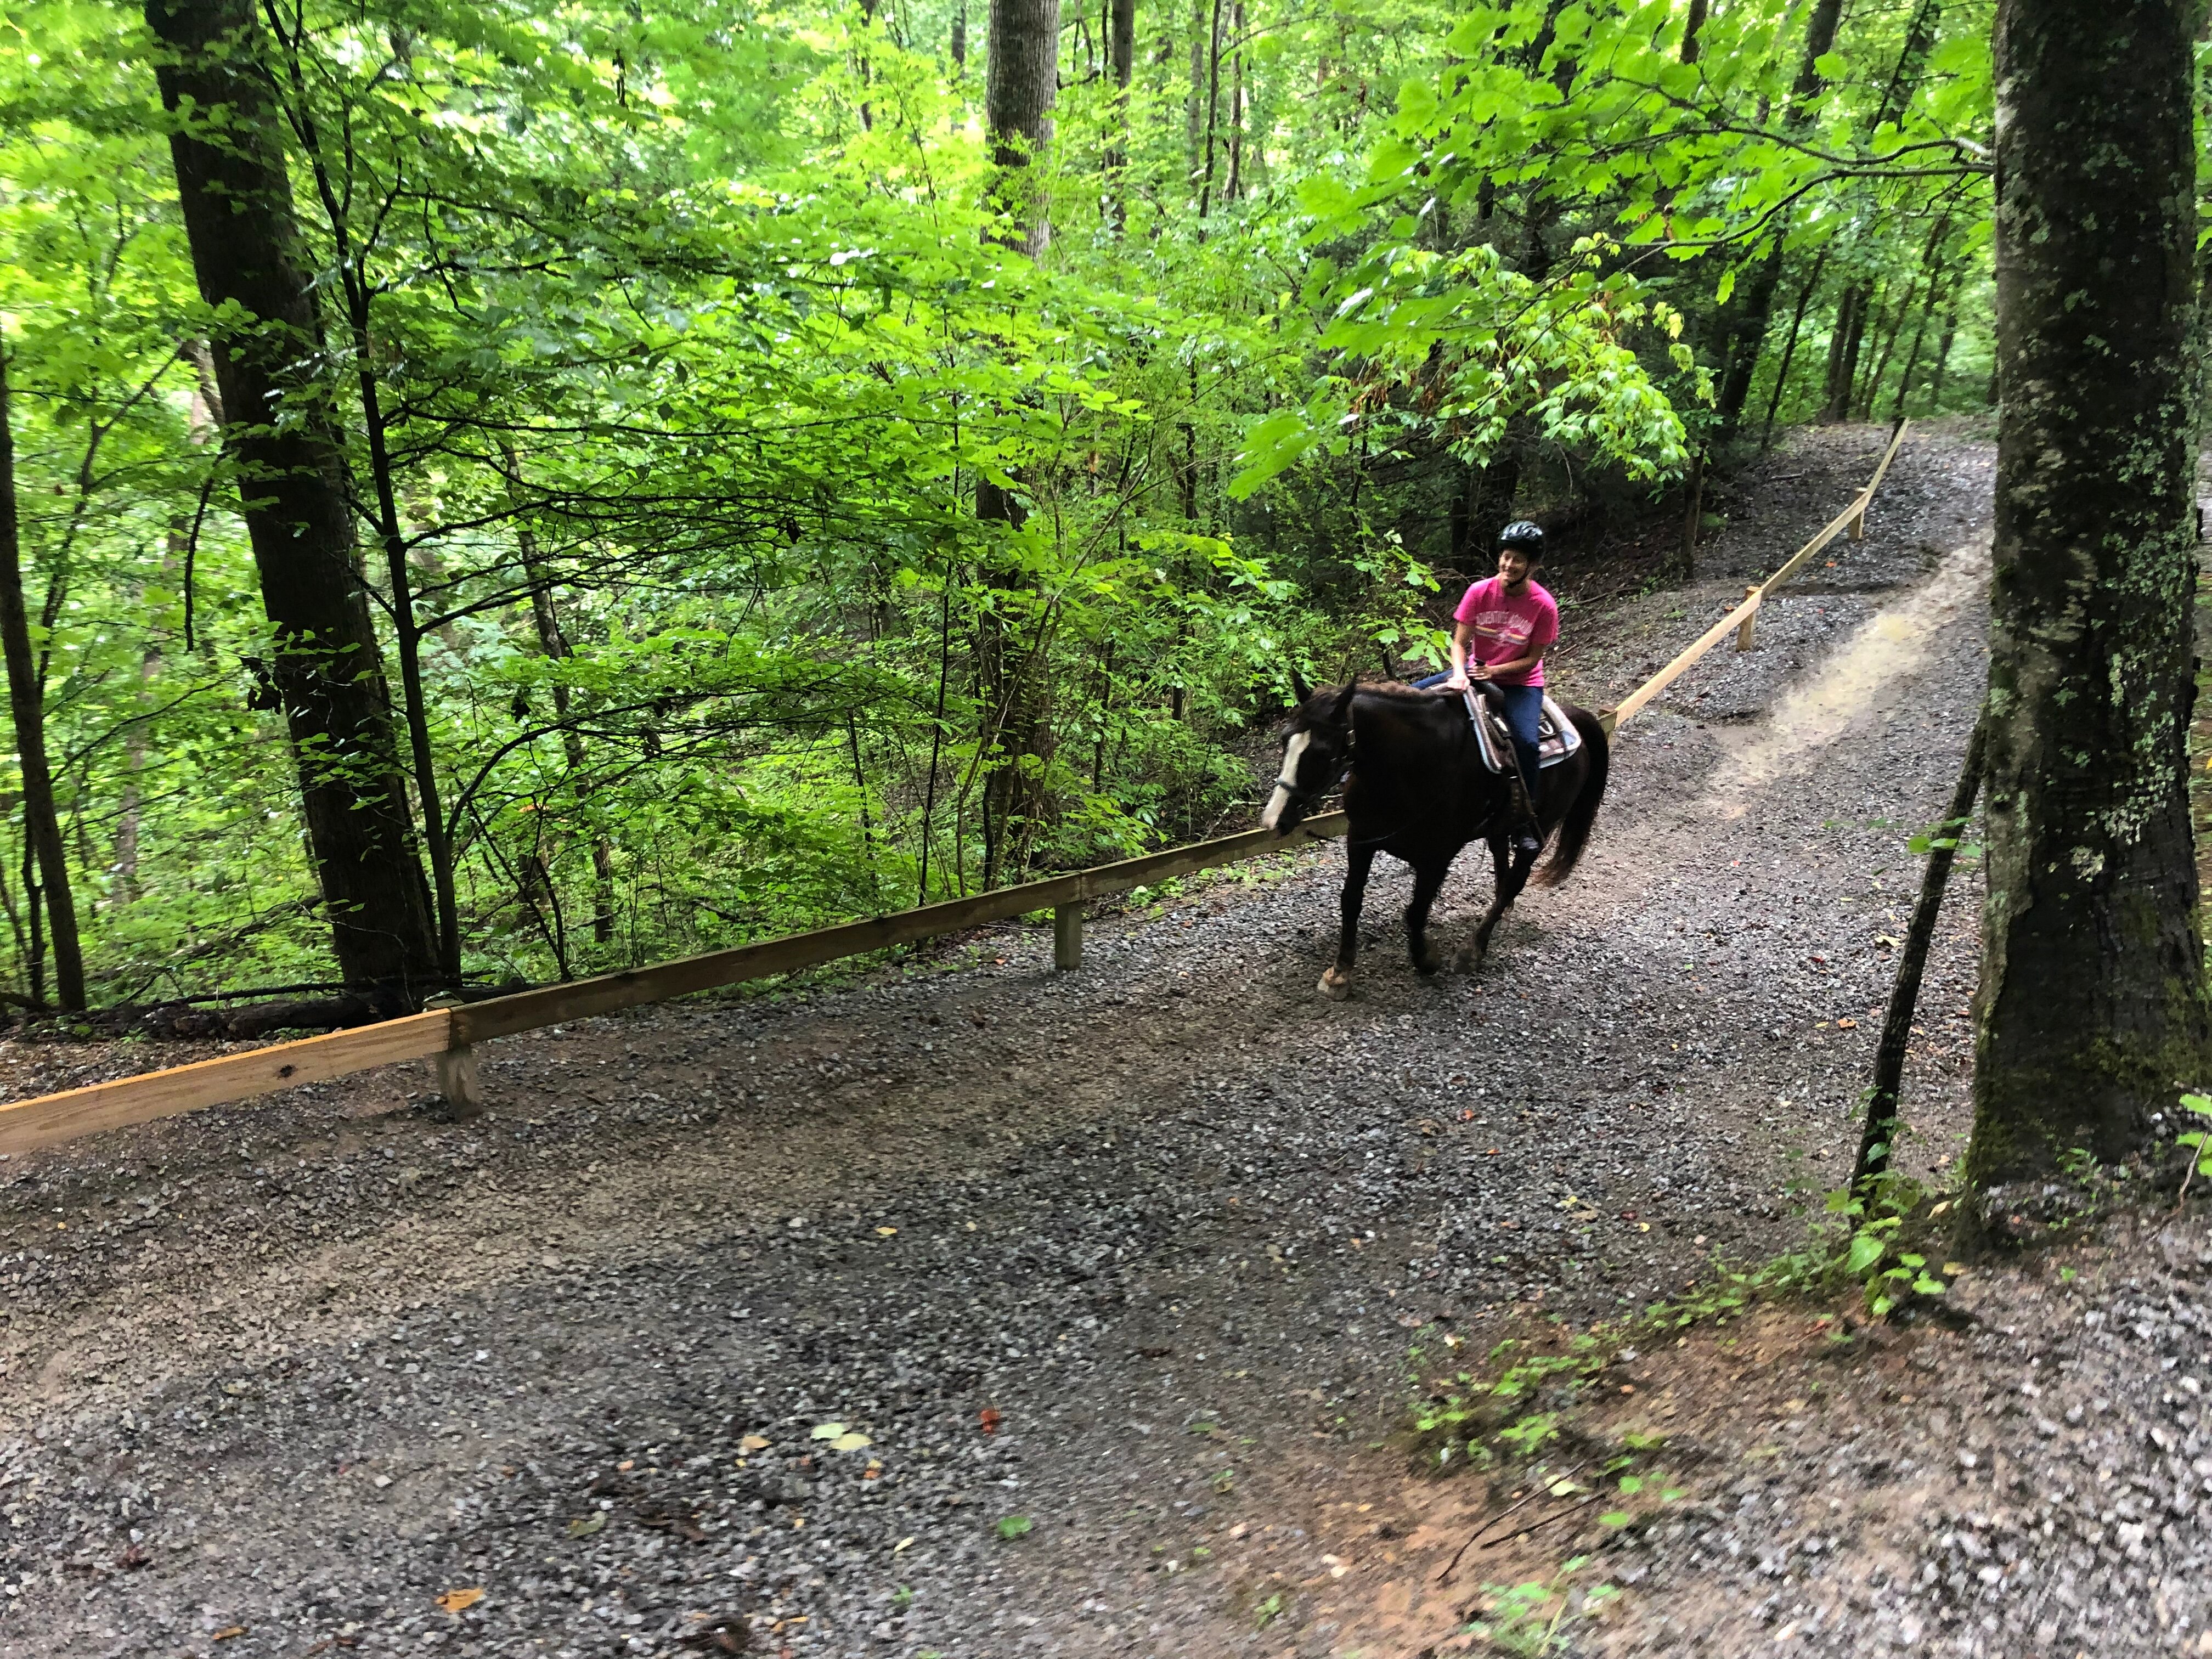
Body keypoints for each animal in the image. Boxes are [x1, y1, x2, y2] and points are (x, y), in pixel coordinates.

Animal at [1265, 668, 1610, 1000]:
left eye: (1322, 752)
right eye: (1285, 741)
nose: (1273, 820)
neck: (1408, 768)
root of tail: (1573, 718)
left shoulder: (1437, 858)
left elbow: (1416, 911)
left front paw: (1426, 960)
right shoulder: (1360, 841)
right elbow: (1351, 900)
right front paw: (1339, 973)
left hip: (1543, 828)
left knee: (1516, 877)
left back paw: (1473, 950)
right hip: (1500, 827)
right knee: (1502, 864)